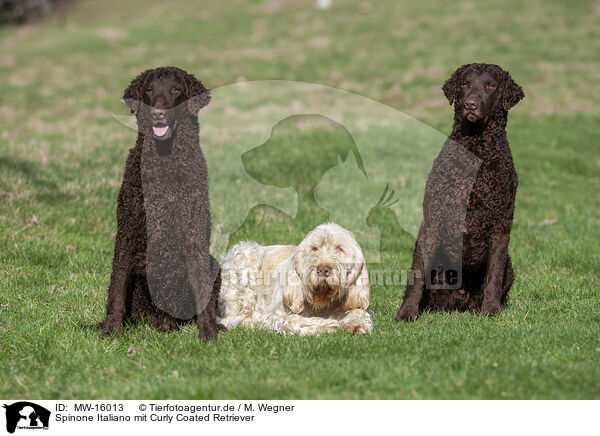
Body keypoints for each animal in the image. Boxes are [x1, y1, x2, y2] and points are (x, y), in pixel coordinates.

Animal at [218, 223, 372, 336]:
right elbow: (294, 320)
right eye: (314, 249)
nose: (323, 270)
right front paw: (328, 325)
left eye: (339, 249)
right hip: (245, 255)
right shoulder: (276, 316)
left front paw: (355, 324)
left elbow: (359, 312)